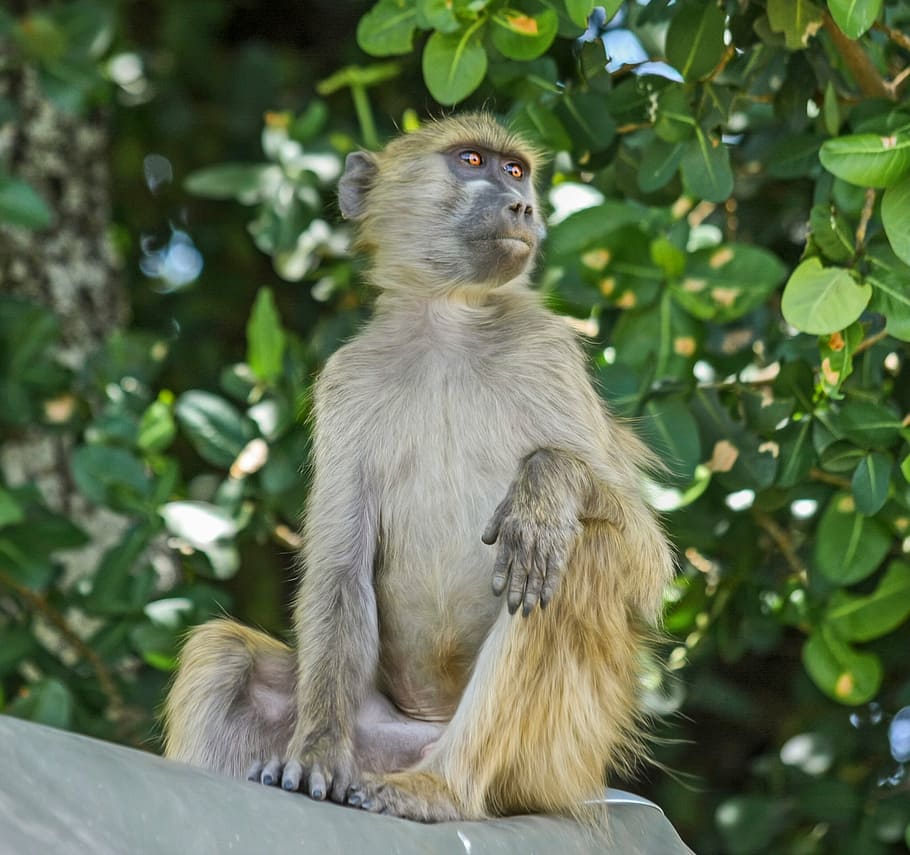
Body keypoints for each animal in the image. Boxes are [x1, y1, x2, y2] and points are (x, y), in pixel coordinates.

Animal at [163, 113, 675, 823]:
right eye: (472, 161)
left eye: (516, 170)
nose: (523, 207)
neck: (448, 322)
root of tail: (424, 731)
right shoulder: (346, 383)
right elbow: (340, 569)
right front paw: (315, 754)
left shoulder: (550, 353)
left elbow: (646, 562)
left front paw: (545, 489)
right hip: (376, 727)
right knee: (222, 652)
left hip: (554, 755)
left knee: (575, 558)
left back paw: (440, 790)